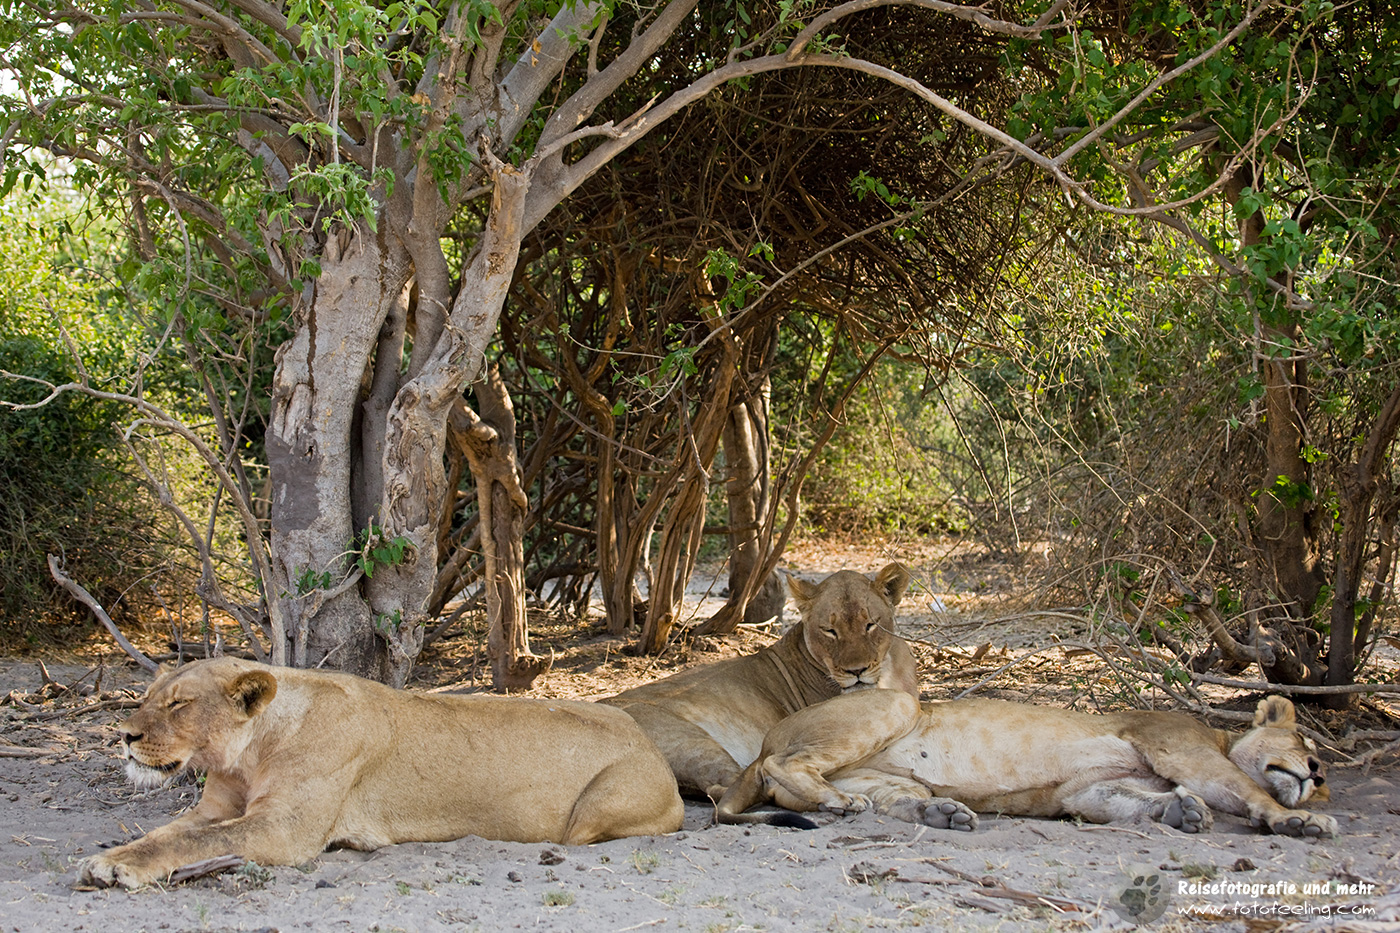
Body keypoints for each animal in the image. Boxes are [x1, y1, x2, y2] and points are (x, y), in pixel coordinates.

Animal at [81, 658, 684, 889]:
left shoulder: (285, 830)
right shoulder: (216, 809)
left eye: (179, 704)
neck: (247, 755)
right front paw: (111, 856)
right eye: (148, 697)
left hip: (597, 809)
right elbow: (167, 836)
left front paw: (116, 868)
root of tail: (649, 740)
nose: (124, 735)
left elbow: (195, 844)